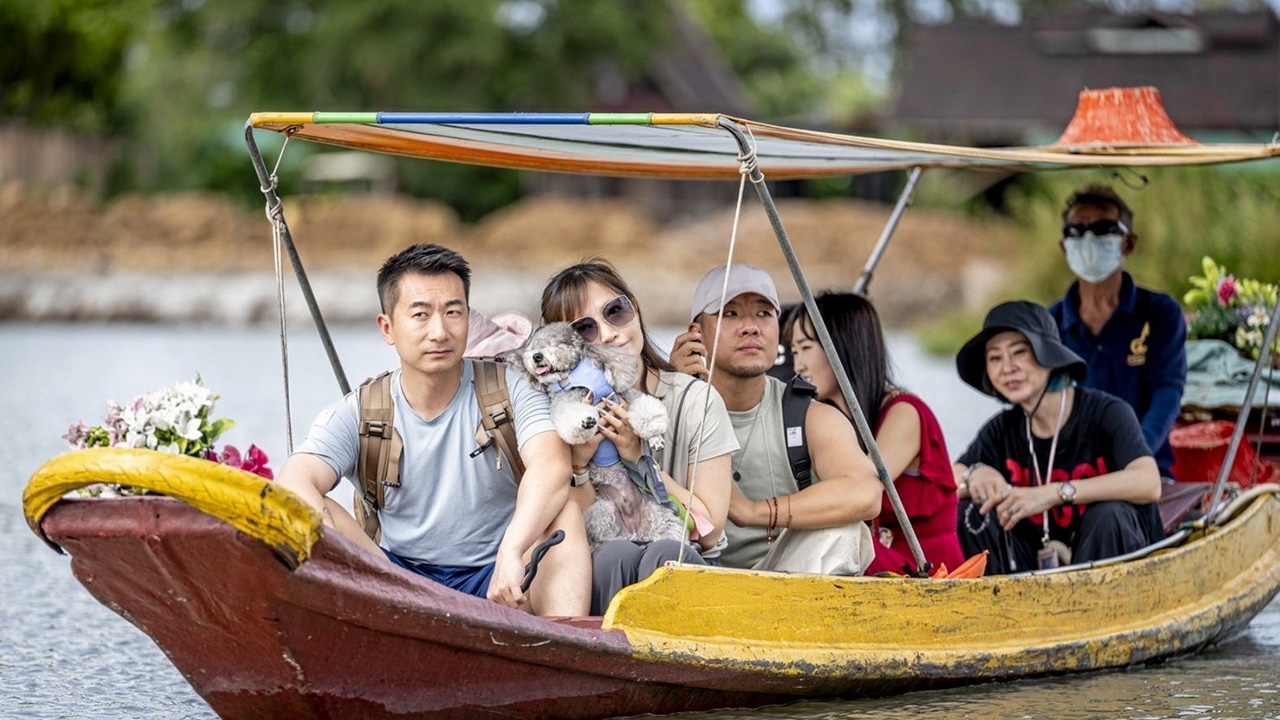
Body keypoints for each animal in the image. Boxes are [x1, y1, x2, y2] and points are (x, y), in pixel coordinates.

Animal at [509, 322, 691, 545]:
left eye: (559, 344)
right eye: (534, 347)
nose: (537, 356)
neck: (574, 378)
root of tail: (635, 533)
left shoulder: (621, 395)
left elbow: (644, 407)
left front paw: (655, 435)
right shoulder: (562, 403)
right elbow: (570, 415)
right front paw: (586, 421)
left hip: (660, 516)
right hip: (602, 513)